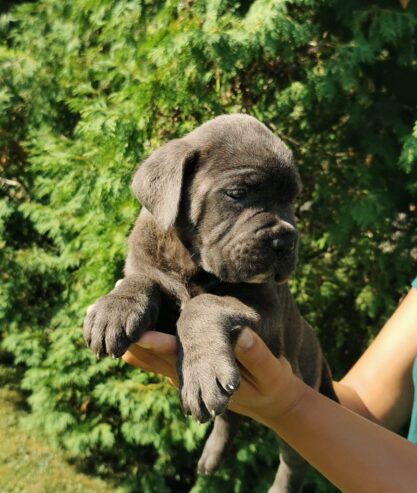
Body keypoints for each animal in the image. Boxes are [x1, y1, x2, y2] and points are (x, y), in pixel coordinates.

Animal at [83, 114, 336, 492]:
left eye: (292, 200)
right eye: (238, 194)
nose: (286, 239)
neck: (192, 261)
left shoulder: (267, 314)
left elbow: (202, 306)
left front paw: (201, 371)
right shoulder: (151, 270)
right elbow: (141, 279)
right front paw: (115, 307)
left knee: (293, 460)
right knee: (230, 419)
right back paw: (210, 457)